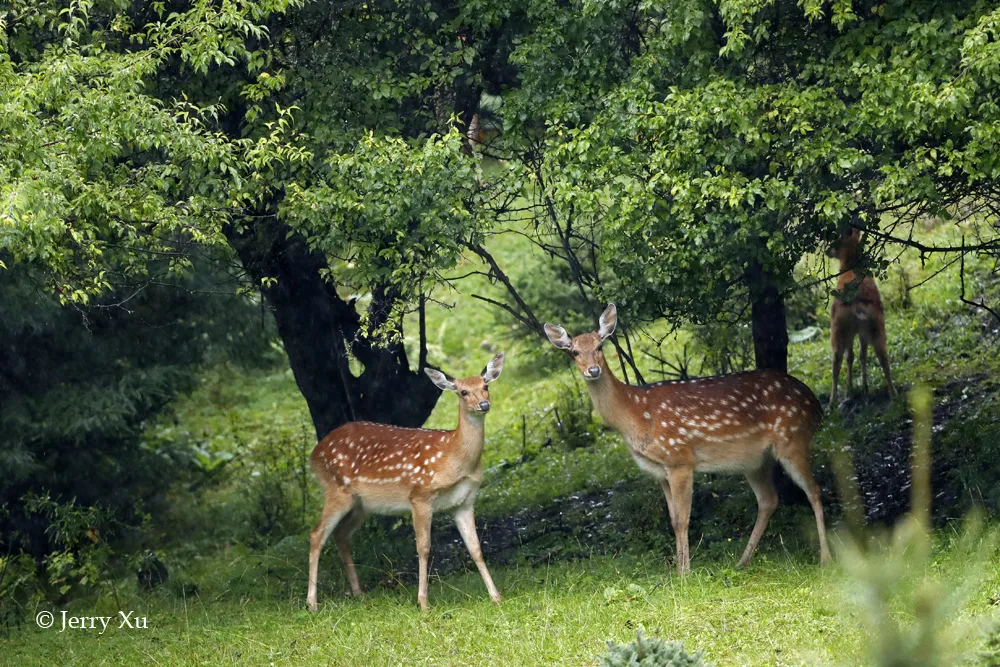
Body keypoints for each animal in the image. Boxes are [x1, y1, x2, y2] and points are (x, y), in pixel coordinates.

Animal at [306, 352, 508, 612]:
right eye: (463, 392)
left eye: (486, 386)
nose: (484, 405)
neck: (454, 458)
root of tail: (314, 454)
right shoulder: (420, 495)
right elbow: (424, 548)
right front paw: (423, 602)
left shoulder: (463, 502)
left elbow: (476, 548)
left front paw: (496, 596)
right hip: (336, 489)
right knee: (316, 534)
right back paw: (312, 603)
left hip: (362, 504)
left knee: (341, 534)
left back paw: (359, 593)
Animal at [544, 306, 832, 576]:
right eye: (574, 352)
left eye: (600, 346)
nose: (593, 370)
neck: (634, 416)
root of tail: (815, 403)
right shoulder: (659, 471)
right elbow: (672, 520)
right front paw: (677, 571)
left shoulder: (680, 459)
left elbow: (683, 520)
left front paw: (685, 573)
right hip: (755, 461)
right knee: (769, 500)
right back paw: (742, 561)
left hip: (792, 438)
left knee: (814, 490)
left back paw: (825, 558)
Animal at [828, 228, 900, 408]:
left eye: (836, 237)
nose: (827, 250)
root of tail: (857, 305)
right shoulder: (861, 332)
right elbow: (861, 355)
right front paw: (863, 388)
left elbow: (850, 357)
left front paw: (850, 390)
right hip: (876, 325)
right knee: (883, 357)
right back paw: (893, 394)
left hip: (839, 328)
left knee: (836, 361)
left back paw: (833, 402)